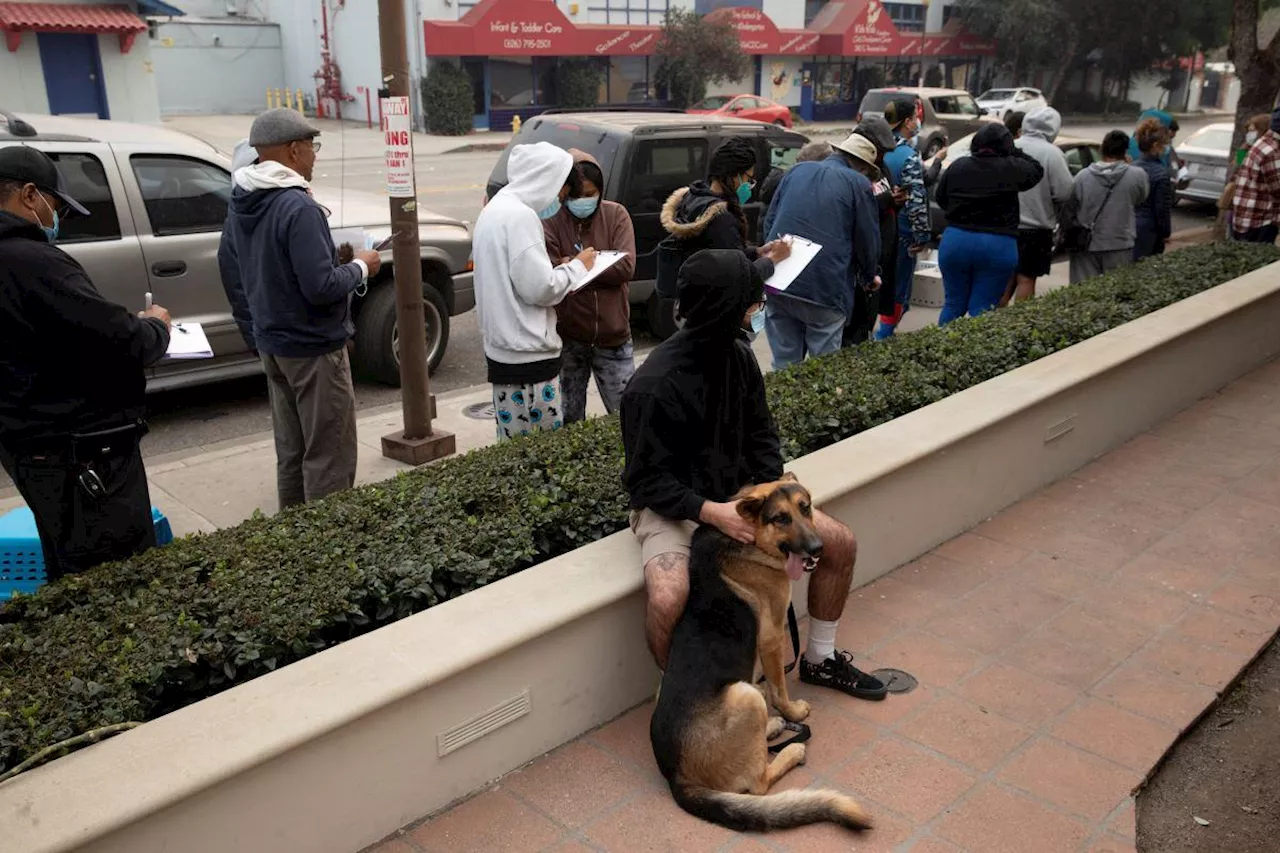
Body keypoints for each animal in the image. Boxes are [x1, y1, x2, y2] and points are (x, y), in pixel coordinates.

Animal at [650, 471, 870, 829]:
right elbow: (780, 688)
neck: (749, 537)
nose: (818, 548)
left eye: (805, 508)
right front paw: (793, 711)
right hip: (745, 695)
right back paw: (791, 749)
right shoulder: (772, 638)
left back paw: (773, 727)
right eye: (780, 518)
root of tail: (676, 777)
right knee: (759, 782)